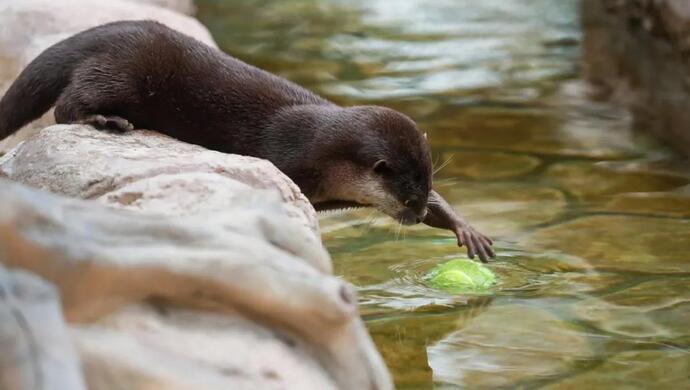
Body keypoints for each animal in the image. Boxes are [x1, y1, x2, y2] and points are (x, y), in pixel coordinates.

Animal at [0, 19, 494, 262]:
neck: (321, 147)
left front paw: (463, 226)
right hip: (123, 72)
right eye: (407, 198)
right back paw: (105, 121)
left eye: (425, 188)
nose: (418, 214)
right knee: (67, 104)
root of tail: (110, 31)